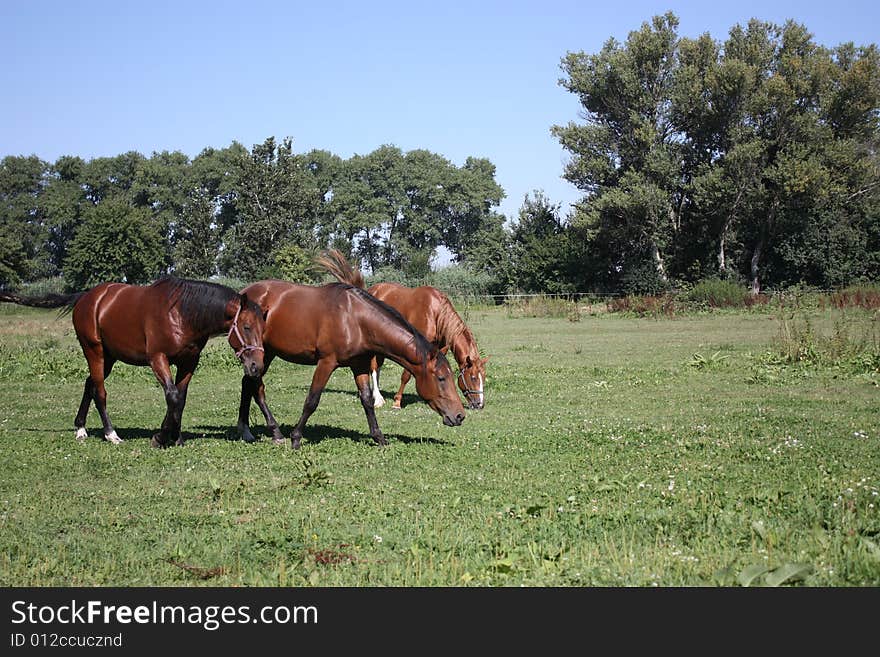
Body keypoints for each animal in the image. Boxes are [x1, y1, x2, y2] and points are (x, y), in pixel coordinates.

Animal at [1, 276, 266, 446]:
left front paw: (176, 437)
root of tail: (86, 297)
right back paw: (111, 434)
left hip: (108, 358)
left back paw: (81, 429)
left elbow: (180, 398)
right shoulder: (158, 358)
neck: (181, 313)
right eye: (246, 326)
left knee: (90, 384)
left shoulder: (189, 362)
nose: (257, 366)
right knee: (100, 391)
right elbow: (172, 396)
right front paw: (161, 437)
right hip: (94, 352)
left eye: (262, 327)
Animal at [234, 280, 468, 448]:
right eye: (441, 378)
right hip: (262, 353)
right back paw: (274, 432)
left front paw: (379, 438)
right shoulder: (326, 363)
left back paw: (247, 431)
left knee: (249, 384)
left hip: (264, 354)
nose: (459, 416)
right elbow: (312, 401)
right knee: (256, 387)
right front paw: (296, 438)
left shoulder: (360, 366)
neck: (355, 319)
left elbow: (367, 401)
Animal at [314, 250, 492, 410]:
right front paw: (397, 402)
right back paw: (377, 398)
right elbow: (406, 375)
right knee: (373, 367)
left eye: (483, 376)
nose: (479, 404)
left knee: (377, 367)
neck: (435, 312)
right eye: (473, 377)